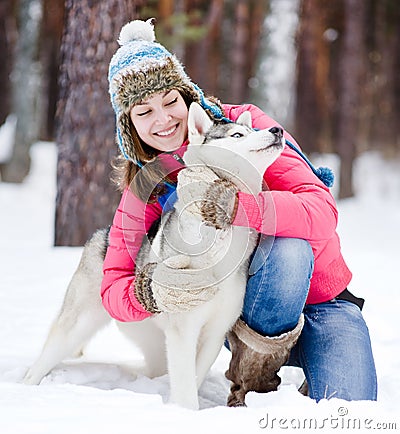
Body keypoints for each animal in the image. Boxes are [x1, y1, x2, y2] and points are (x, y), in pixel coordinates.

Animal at [23, 103, 282, 408]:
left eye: (254, 128)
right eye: (238, 134)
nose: (277, 129)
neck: (222, 239)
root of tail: (102, 234)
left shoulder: (215, 333)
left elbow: (193, 377)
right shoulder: (184, 330)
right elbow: (186, 387)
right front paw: (184, 411)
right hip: (76, 326)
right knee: (41, 363)